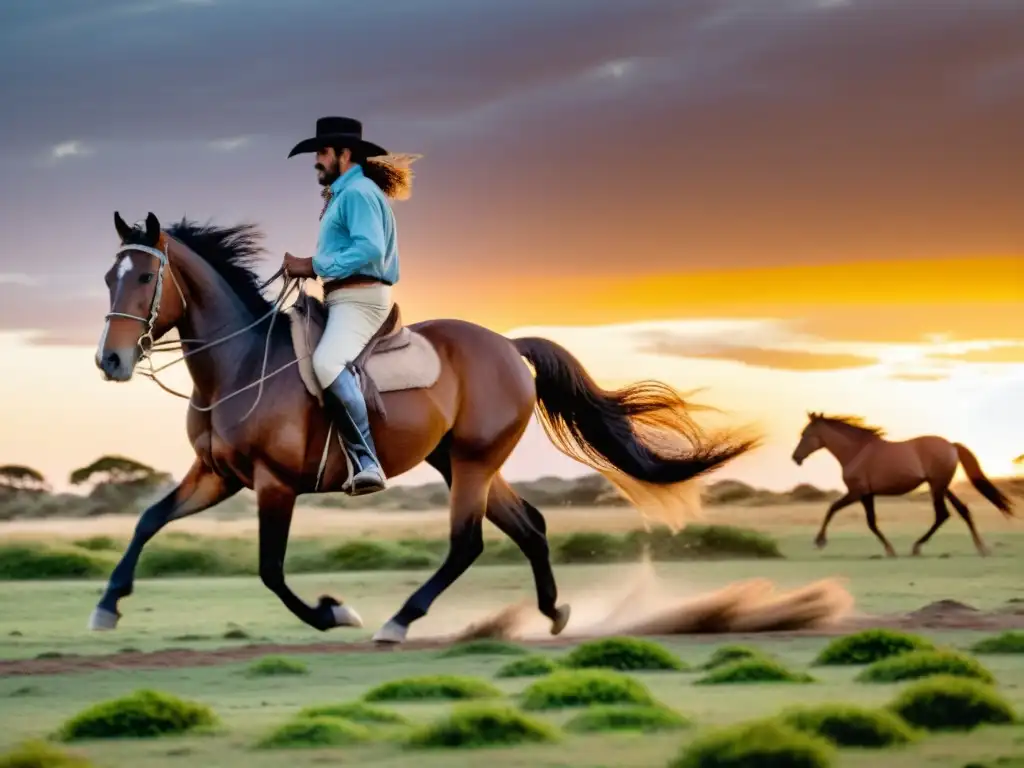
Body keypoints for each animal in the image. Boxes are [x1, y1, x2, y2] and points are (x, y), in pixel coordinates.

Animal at [88, 214, 757, 647]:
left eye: (144, 279)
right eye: (108, 278)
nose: (110, 361)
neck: (239, 366)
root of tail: (508, 347)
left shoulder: (273, 485)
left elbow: (270, 570)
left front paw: (334, 614)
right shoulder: (216, 476)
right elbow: (149, 520)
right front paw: (107, 604)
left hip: (473, 464)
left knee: (468, 543)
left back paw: (400, 620)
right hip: (459, 462)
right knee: (530, 526)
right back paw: (554, 612)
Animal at [786, 415, 1011, 561]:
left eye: (805, 434)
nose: (795, 458)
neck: (856, 452)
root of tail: (951, 445)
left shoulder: (858, 492)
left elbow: (834, 509)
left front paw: (820, 541)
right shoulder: (867, 494)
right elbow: (870, 522)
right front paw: (890, 550)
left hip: (937, 486)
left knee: (942, 513)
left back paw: (917, 547)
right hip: (942, 485)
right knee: (961, 510)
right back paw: (982, 548)